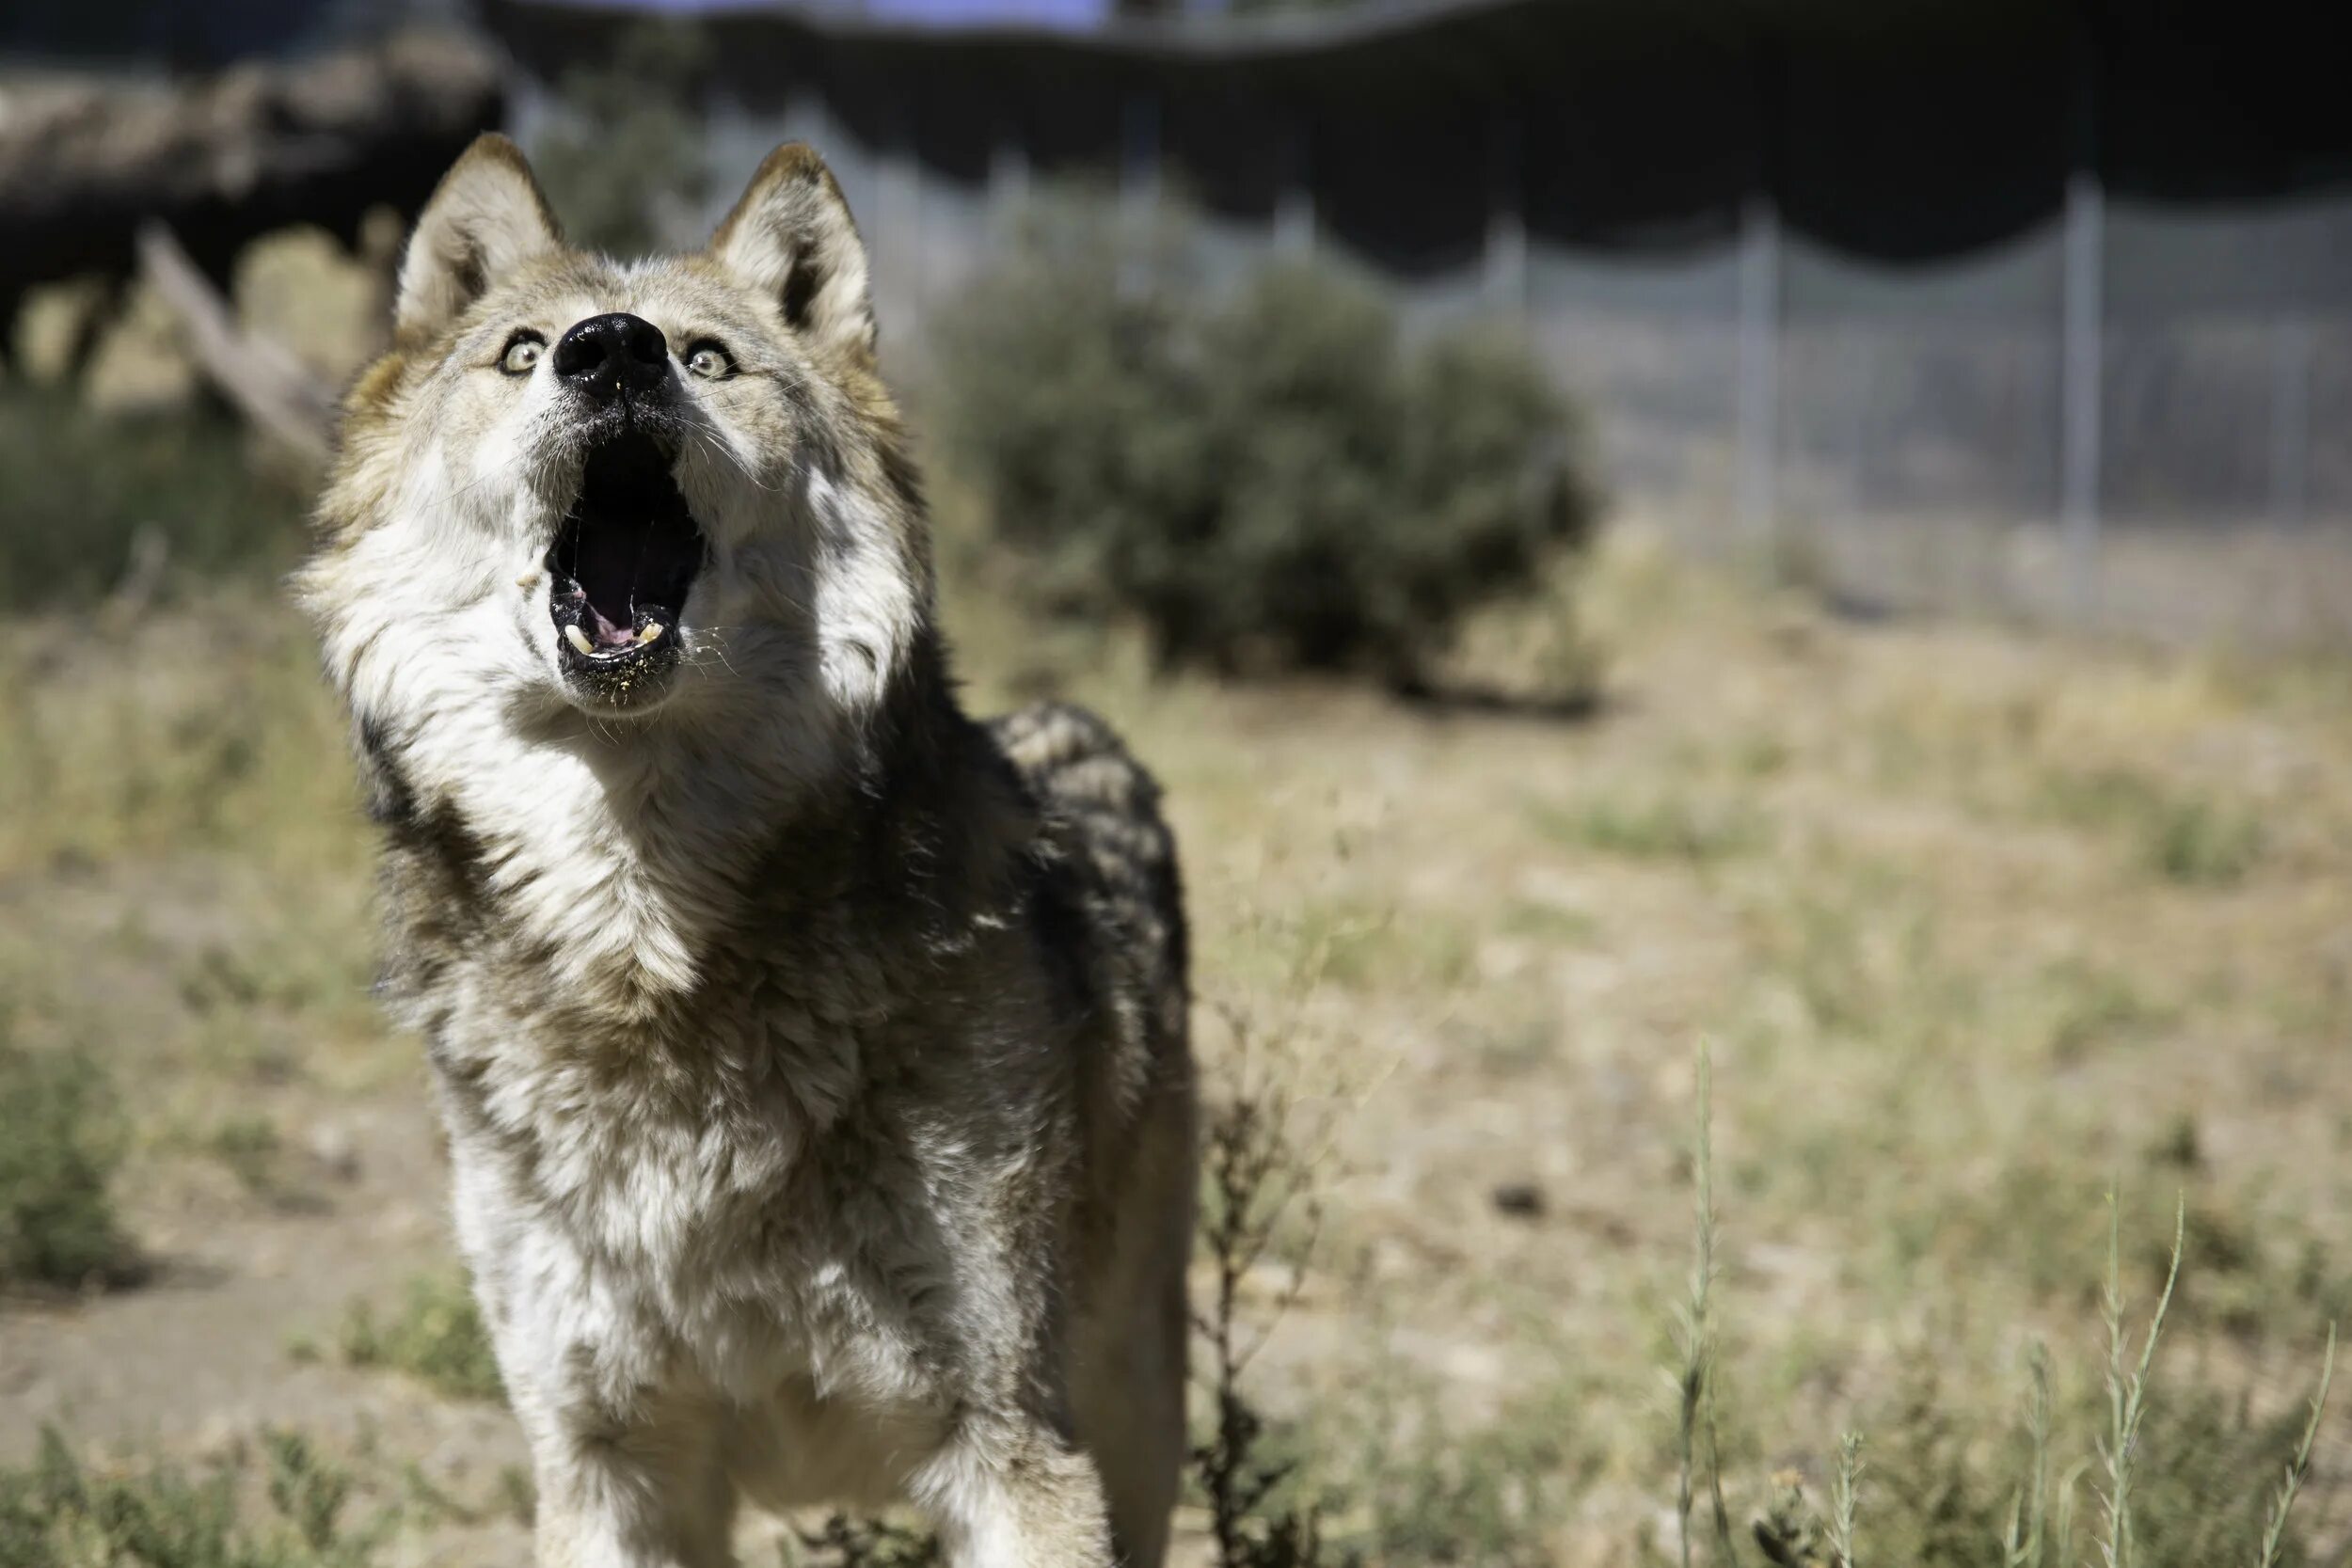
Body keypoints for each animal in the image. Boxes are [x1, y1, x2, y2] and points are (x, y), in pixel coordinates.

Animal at [298, 137, 1195, 1568]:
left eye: (707, 357)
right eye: (521, 352)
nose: (612, 352)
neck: (647, 944)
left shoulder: (1019, 1449)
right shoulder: (605, 1466)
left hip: (1134, 1412)